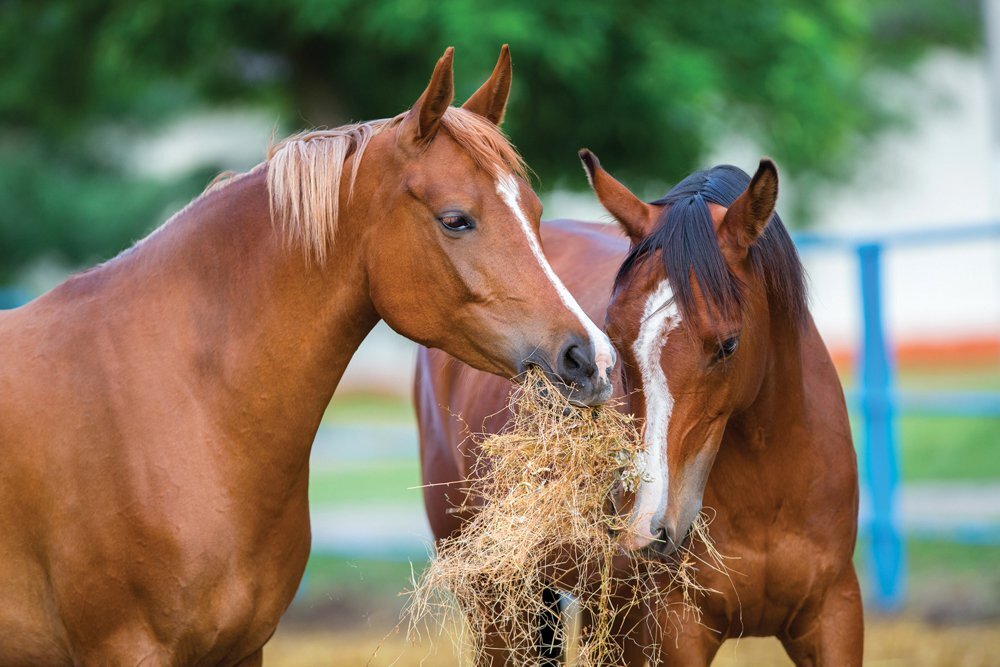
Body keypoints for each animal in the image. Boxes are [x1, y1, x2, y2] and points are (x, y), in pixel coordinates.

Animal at [0, 48, 616, 667]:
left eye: (535, 210)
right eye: (455, 219)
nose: (591, 360)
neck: (183, 407)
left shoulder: (244, 648)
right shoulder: (129, 650)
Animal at [414, 155, 860, 664]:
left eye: (728, 345)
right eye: (615, 337)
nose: (647, 526)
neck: (769, 489)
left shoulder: (834, 615)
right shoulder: (672, 632)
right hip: (498, 606)